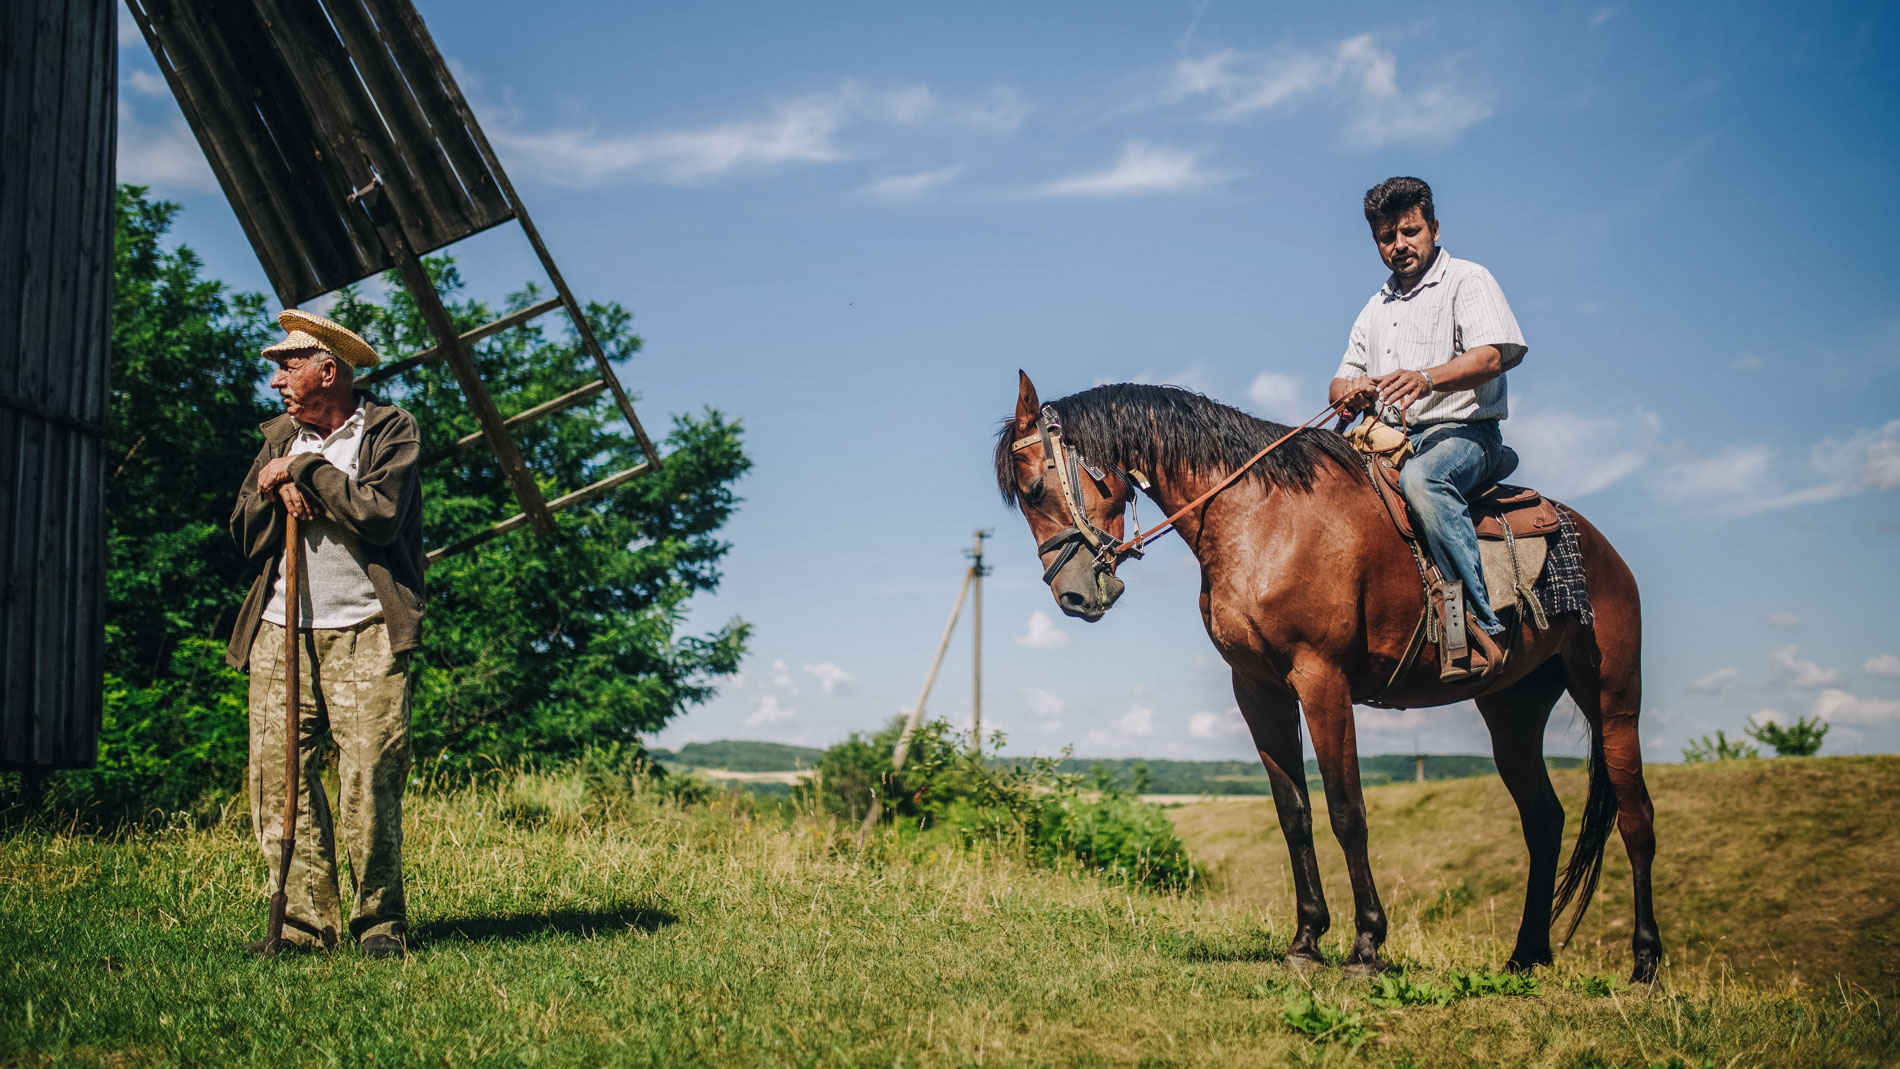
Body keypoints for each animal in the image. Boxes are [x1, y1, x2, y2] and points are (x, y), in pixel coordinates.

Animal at [995, 372, 1664, 979]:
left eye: (1036, 488)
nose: (1073, 597)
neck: (1259, 520)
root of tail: (1604, 550)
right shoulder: (1259, 691)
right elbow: (1294, 814)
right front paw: (1306, 940)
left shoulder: (1322, 682)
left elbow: (1347, 810)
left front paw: (1366, 946)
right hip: (1512, 711)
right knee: (1543, 821)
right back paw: (1527, 956)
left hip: (1612, 698)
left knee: (1636, 818)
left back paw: (1645, 963)